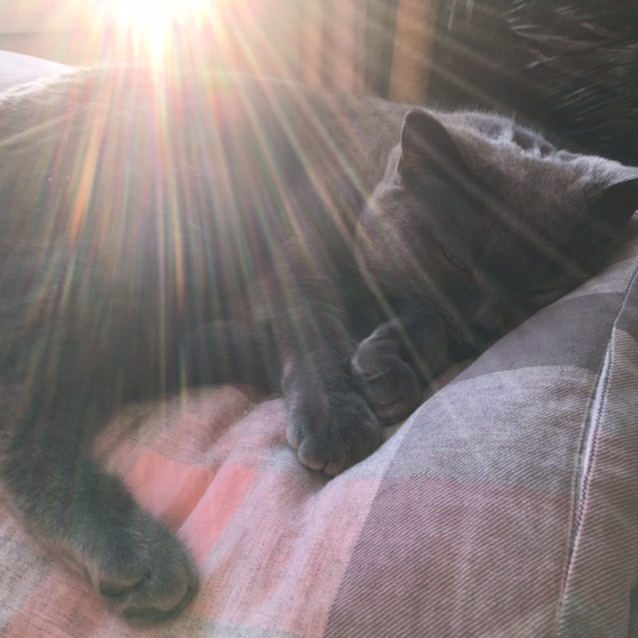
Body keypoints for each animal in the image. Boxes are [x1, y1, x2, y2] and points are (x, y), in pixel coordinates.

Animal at [1, 67, 637, 623]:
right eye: (453, 258)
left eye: (543, 287)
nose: (486, 323)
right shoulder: (300, 247)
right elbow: (315, 328)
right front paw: (341, 416)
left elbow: (421, 316)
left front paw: (387, 361)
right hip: (146, 233)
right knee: (26, 414)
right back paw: (136, 556)